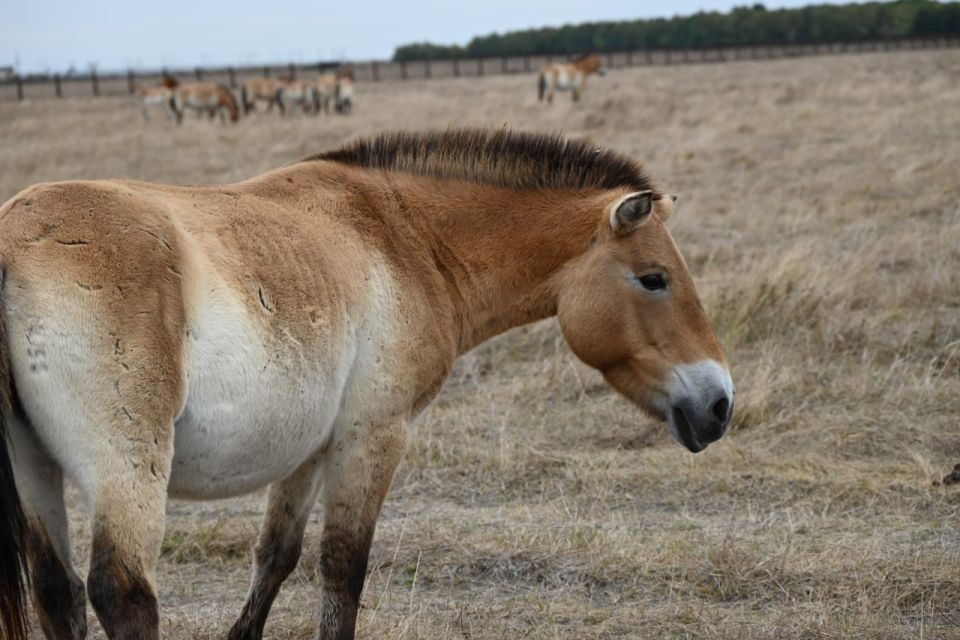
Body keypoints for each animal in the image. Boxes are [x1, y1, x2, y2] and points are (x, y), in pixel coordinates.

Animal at [0, 128, 734, 640]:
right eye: (654, 279)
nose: (719, 404)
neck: (405, 239)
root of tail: (11, 245)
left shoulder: (309, 448)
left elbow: (277, 556)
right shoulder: (373, 436)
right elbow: (343, 566)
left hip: (34, 467)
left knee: (58, 593)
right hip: (126, 469)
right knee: (123, 593)